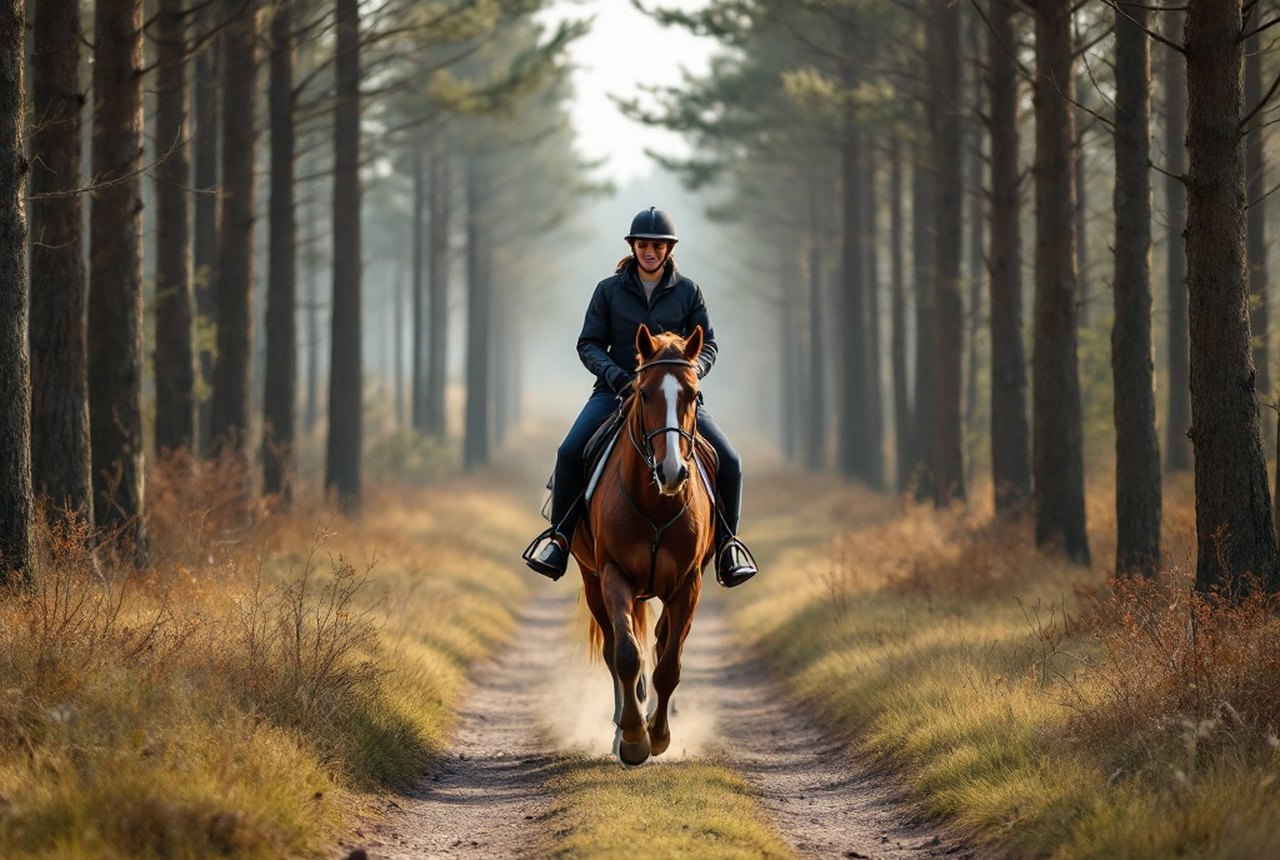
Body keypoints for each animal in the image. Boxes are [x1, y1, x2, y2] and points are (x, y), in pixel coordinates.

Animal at [571, 323, 717, 766]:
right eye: (644, 392)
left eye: (693, 394)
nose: (673, 471)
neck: (655, 500)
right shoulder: (614, 575)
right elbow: (626, 655)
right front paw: (634, 738)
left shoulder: (688, 584)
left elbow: (668, 663)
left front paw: (659, 734)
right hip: (592, 581)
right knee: (617, 649)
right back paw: (623, 727)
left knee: (659, 644)